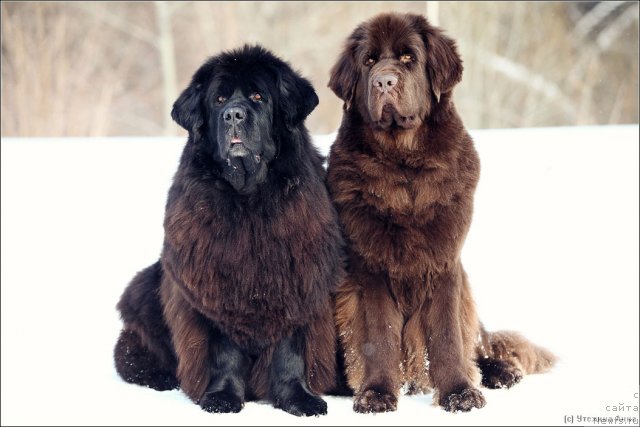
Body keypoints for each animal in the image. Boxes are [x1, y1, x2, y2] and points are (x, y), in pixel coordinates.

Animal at [115, 45, 344, 416]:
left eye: (258, 96)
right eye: (219, 99)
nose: (234, 115)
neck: (248, 199)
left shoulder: (296, 281)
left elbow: (290, 351)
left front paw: (299, 398)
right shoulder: (215, 287)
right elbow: (224, 350)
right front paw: (222, 397)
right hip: (146, 285)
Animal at [324, 12, 556, 414]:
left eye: (408, 58)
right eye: (368, 61)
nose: (384, 80)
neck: (403, 163)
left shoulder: (445, 262)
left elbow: (448, 336)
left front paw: (460, 393)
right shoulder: (368, 269)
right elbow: (379, 335)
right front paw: (377, 393)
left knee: (478, 343)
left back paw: (501, 371)